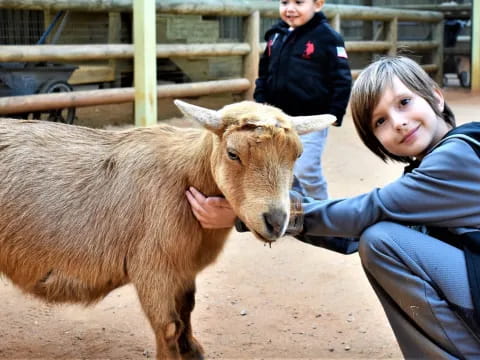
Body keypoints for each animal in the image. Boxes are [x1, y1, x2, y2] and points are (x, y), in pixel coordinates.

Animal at [0, 100, 334, 358]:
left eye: (297, 155)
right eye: (232, 153)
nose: (276, 221)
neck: (185, 178)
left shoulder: (183, 268)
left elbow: (187, 308)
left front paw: (193, 350)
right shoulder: (153, 268)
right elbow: (169, 326)